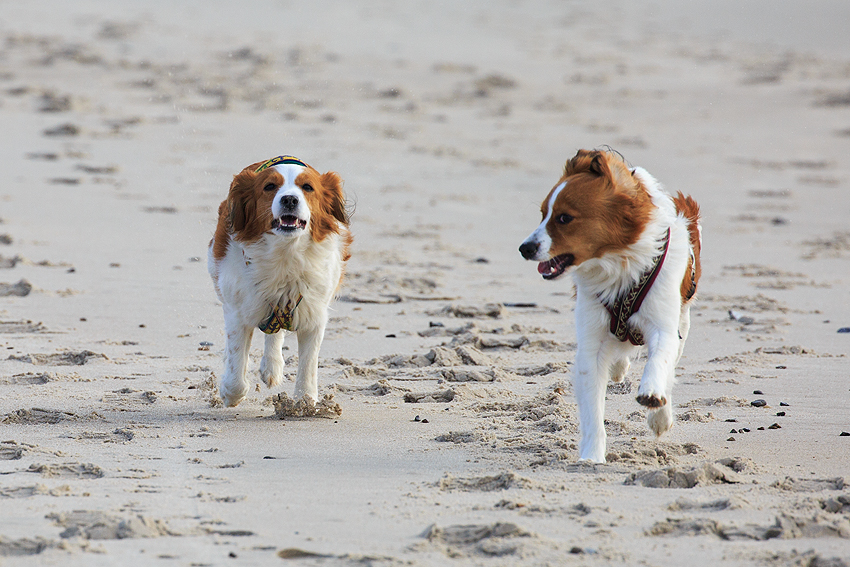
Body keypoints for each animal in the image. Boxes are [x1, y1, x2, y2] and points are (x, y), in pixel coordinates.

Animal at [520, 149, 700, 464]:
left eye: (564, 218)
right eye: (543, 215)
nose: (524, 248)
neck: (619, 265)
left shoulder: (664, 325)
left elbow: (659, 362)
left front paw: (652, 395)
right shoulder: (591, 346)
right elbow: (593, 411)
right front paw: (592, 458)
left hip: (683, 319)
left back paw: (660, 416)